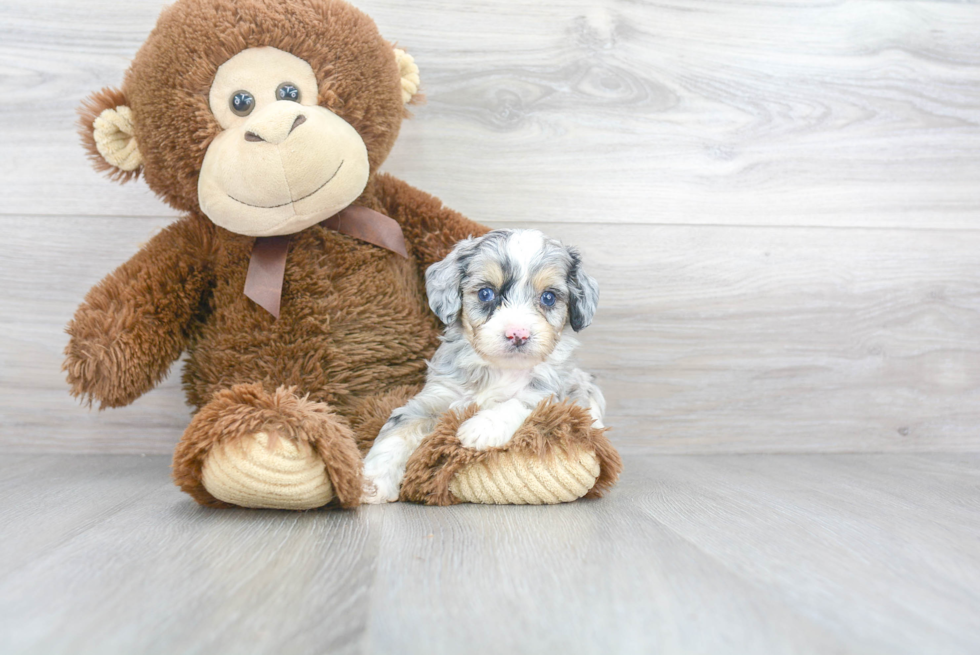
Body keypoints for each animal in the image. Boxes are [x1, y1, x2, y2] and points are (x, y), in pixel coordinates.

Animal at [362, 228, 604, 504]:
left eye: (549, 297)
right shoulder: (434, 398)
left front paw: (482, 428)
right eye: (486, 293)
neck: (500, 369)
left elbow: (519, 403)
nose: (517, 334)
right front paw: (373, 482)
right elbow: (397, 430)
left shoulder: (551, 397)